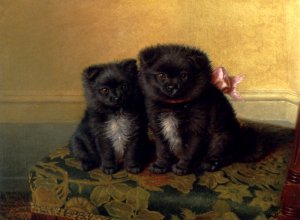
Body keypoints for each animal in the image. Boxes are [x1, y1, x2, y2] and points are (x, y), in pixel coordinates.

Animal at [138, 44, 241, 175]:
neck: (173, 105)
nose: (172, 87)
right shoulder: (159, 127)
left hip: (221, 137)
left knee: (225, 155)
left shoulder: (196, 128)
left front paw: (181, 167)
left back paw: (209, 164)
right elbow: (162, 150)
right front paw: (160, 165)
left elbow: (189, 151)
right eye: (162, 76)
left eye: (184, 76)